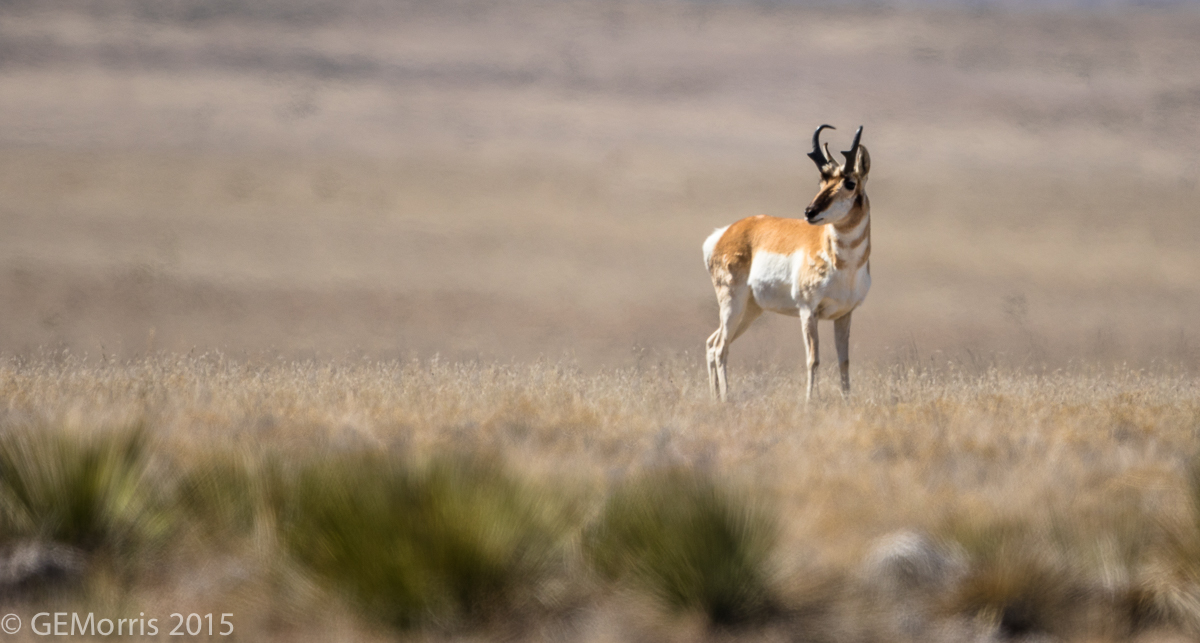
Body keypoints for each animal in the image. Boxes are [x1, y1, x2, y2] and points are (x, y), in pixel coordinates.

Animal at [703, 124, 872, 402]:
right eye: (822, 181)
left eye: (850, 183)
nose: (810, 212)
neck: (844, 265)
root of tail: (725, 233)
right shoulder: (808, 312)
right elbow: (813, 359)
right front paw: (810, 402)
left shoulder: (844, 314)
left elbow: (844, 361)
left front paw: (847, 401)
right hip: (732, 305)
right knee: (719, 348)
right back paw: (726, 399)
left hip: (750, 311)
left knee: (711, 343)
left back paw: (716, 398)